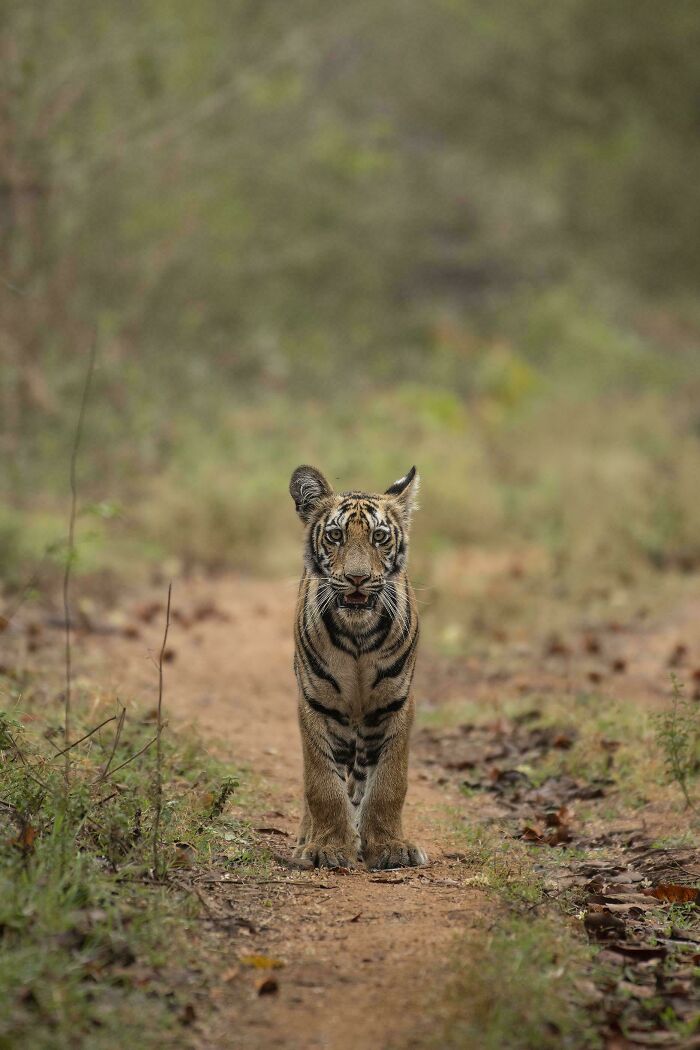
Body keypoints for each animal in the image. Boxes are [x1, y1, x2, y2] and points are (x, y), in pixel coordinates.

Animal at [289, 464, 427, 871]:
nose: (357, 578)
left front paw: (390, 847)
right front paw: (328, 848)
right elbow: (322, 784)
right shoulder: (316, 703)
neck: (357, 636)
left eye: (379, 537)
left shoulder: (395, 703)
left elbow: (388, 784)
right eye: (335, 535)